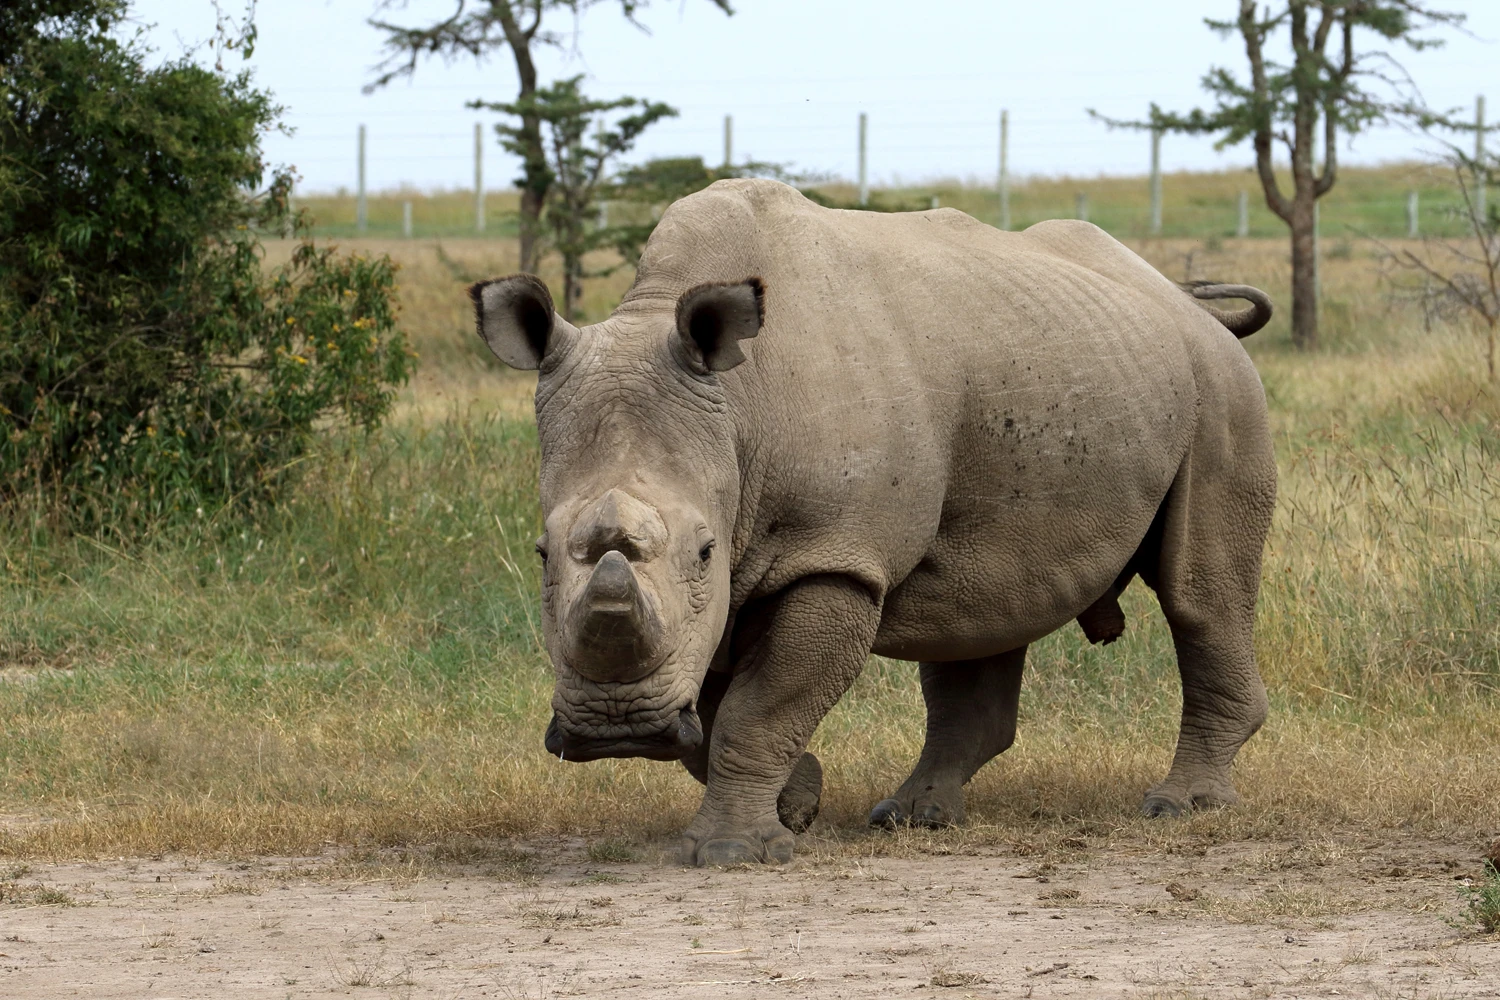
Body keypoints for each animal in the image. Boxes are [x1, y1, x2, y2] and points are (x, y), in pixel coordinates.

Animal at [469, 179, 1277, 867]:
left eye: (703, 551)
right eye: (541, 553)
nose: (617, 730)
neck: (740, 410)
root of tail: (1186, 302)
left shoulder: (833, 554)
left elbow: (757, 708)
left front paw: (732, 852)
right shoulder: (730, 569)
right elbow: (713, 707)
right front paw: (797, 803)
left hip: (1221, 386)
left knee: (1199, 594)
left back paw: (1179, 807)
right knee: (979, 607)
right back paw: (913, 817)